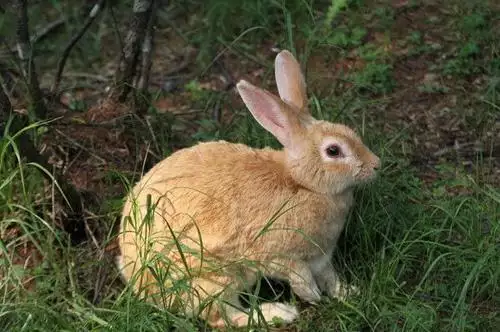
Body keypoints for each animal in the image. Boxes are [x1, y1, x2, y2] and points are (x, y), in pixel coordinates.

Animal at [117, 50, 380, 328]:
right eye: (333, 151)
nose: (376, 165)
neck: (303, 184)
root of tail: (135, 277)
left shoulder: (321, 258)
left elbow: (330, 277)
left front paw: (348, 292)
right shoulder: (278, 256)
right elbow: (300, 278)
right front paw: (314, 297)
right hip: (213, 280)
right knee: (224, 317)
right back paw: (279, 313)